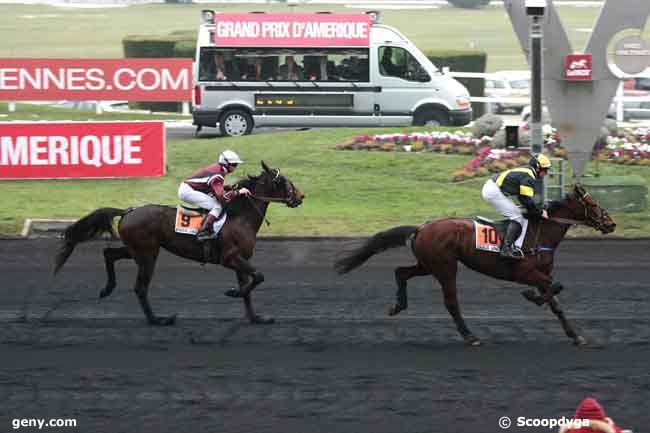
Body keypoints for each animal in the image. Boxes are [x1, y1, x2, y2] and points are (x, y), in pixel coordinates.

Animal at [54, 161, 302, 324]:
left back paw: (108, 289)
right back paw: (158, 320)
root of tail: (128, 211)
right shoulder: (230, 257)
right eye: (282, 181)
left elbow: (248, 288)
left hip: (136, 250)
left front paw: (256, 317)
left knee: (109, 254)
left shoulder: (240, 260)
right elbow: (258, 277)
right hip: (147, 254)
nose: (300, 196)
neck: (239, 217)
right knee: (140, 287)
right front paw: (232, 293)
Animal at [334, 184, 612, 346]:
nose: (611, 223)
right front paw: (531, 296)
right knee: (450, 302)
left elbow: (556, 302)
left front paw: (575, 335)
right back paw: (470, 336)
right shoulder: (526, 272)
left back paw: (397, 305)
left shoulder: (541, 273)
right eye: (593, 204)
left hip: (428, 264)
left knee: (401, 272)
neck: (541, 232)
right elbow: (555, 287)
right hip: (445, 267)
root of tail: (422, 227)